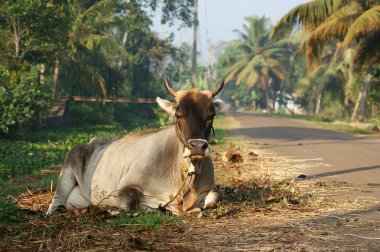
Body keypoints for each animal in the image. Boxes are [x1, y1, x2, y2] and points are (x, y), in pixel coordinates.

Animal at [48, 79, 224, 216]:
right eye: (178, 114)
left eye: (211, 115)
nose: (197, 146)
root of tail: (93, 140)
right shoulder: (123, 189)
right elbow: (131, 203)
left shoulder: (209, 190)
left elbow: (215, 197)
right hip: (71, 158)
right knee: (58, 198)